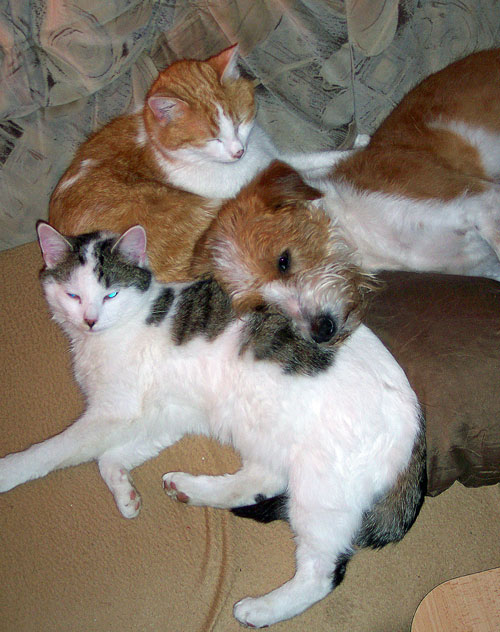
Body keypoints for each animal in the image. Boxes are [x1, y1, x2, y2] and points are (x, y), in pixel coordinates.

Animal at [49, 43, 364, 283]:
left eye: (238, 122)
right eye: (212, 139)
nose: (238, 152)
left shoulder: (270, 159)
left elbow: (310, 159)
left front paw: (358, 144)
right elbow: (309, 167)